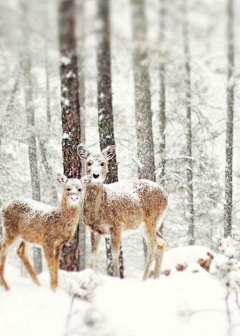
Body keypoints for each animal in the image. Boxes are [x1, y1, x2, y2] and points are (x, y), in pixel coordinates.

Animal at [77, 144, 169, 280]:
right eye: (89, 163)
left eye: (103, 163)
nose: (95, 175)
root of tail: (166, 195)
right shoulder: (94, 230)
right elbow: (93, 255)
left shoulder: (116, 224)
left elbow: (115, 253)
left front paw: (117, 277)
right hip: (147, 225)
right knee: (162, 241)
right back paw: (155, 277)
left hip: (151, 220)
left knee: (153, 245)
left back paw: (144, 278)